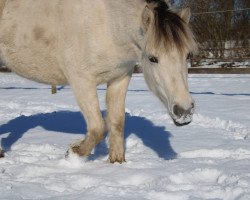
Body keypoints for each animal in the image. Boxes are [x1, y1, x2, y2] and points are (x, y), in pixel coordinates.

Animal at [0, 0, 197, 162]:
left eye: (187, 55)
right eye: (153, 58)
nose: (184, 111)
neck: (108, 25)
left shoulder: (119, 78)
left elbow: (116, 122)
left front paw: (117, 163)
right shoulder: (82, 81)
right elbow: (98, 128)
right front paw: (73, 153)